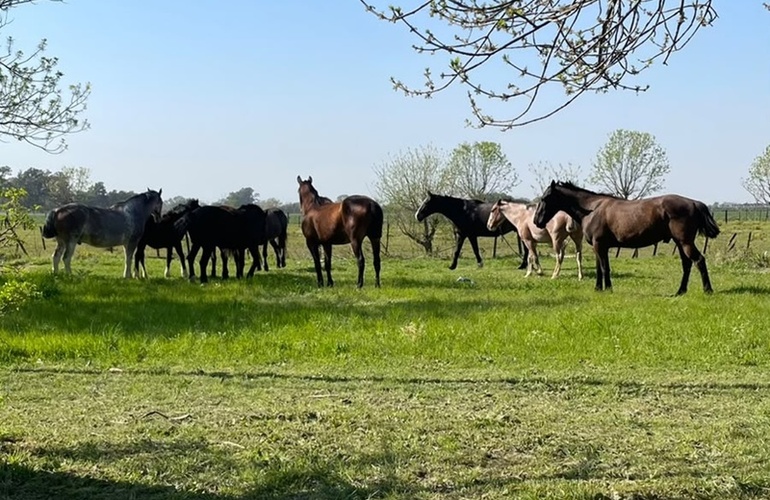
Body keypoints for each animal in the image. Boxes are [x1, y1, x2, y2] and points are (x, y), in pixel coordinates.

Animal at [533, 181, 719, 295]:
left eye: (545, 198)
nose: (536, 221)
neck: (592, 209)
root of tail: (694, 202)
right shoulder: (598, 247)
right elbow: (600, 268)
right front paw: (599, 288)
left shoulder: (599, 245)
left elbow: (604, 268)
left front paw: (607, 289)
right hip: (680, 243)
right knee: (687, 264)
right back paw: (680, 291)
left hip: (685, 242)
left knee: (699, 260)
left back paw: (707, 290)